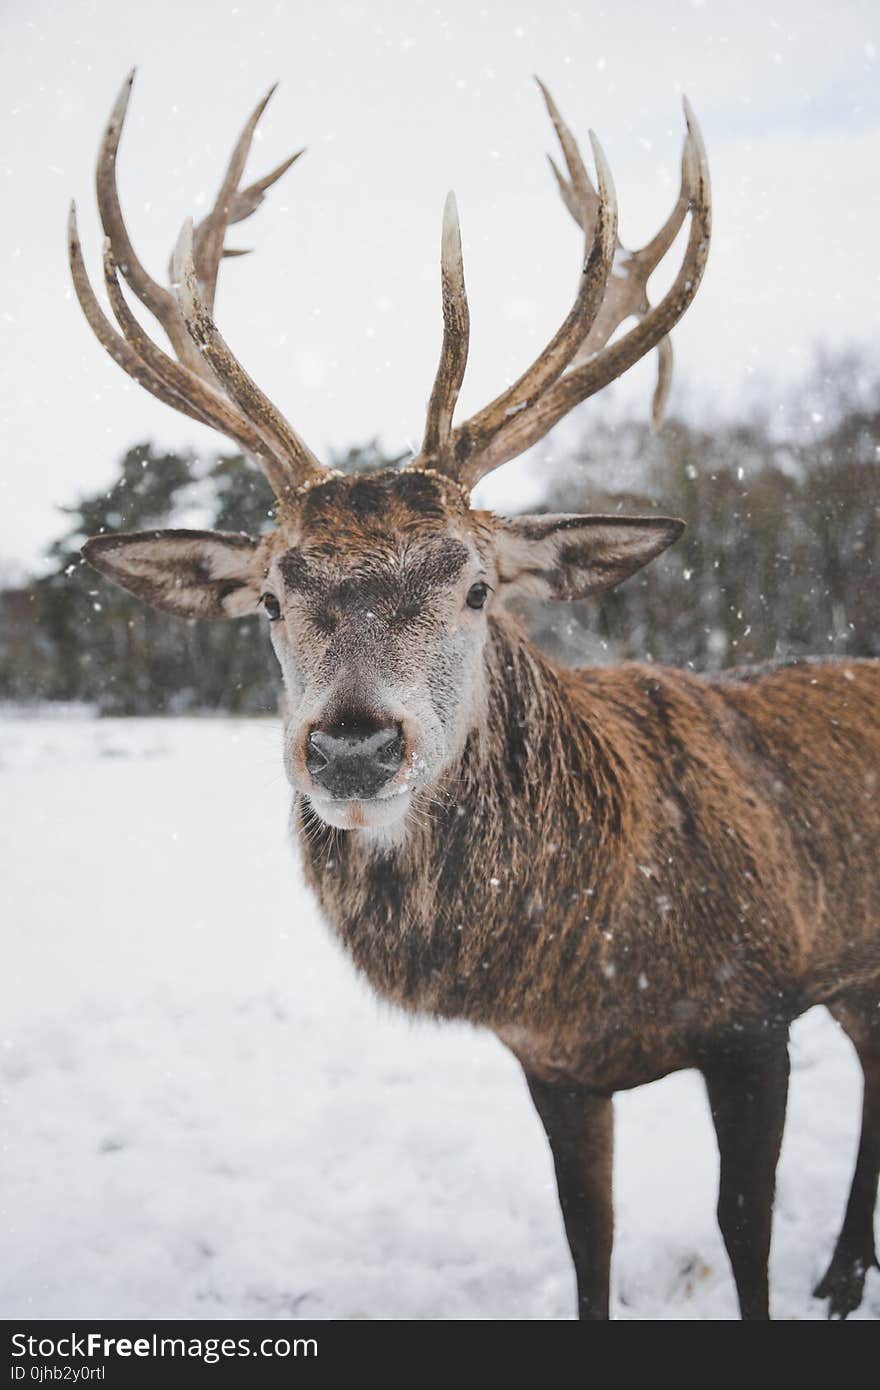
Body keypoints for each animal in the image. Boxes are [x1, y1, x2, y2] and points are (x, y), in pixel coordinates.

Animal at [70, 73, 878, 1312]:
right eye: (270, 598)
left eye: (477, 584)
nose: (353, 746)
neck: (598, 955)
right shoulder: (552, 1065)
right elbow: (587, 1239)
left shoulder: (755, 1011)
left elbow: (742, 1234)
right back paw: (841, 1269)